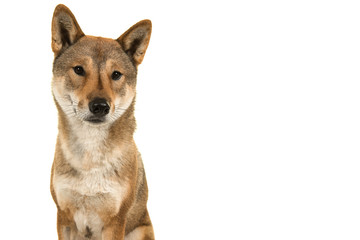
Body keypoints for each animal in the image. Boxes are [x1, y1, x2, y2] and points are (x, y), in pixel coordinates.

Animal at [48, 4, 153, 240]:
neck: (90, 160)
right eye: (79, 70)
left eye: (116, 74)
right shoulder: (64, 216)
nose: (100, 106)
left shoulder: (115, 220)